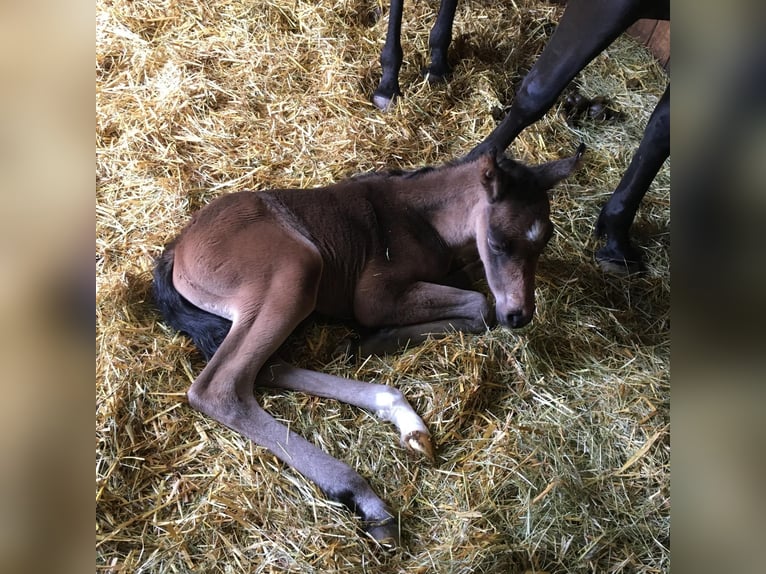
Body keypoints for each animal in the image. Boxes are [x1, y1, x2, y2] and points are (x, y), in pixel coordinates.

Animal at [154, 145, 584, 548]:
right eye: (498, 241)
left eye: (546, 239)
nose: (520, 315)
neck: (424, 221)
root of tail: (178, 248)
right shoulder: (374, 296)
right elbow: (479, 304)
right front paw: (376, 338)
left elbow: (474, 294)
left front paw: (370, 343)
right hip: (295, 270)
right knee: (221, 387)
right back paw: (362, 495)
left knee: (265, 368)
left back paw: (400, 415)